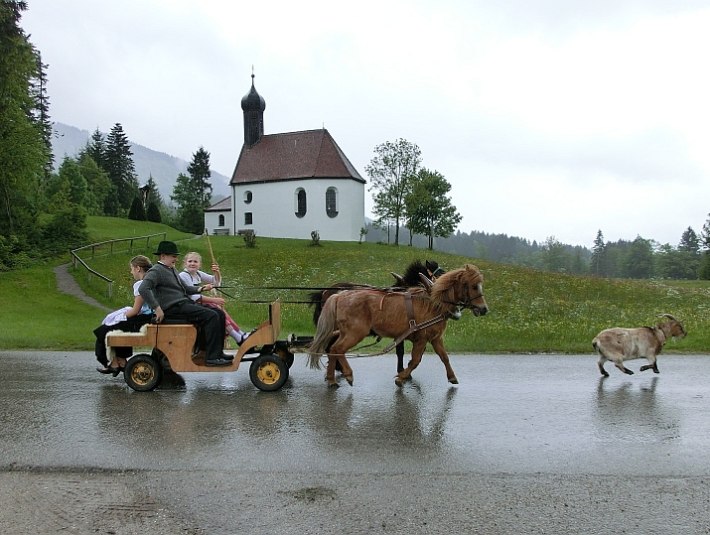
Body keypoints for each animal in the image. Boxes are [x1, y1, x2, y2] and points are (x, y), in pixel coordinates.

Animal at [310, 264, 490, 388]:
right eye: (474, 286)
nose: (484, 309)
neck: (434, 303)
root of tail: (338, 296)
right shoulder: (422, 339)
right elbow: (416, 360)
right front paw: (402, 378)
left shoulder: (435, 338)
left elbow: (444, 357)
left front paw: (452, 377)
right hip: (355, 333)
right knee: (337, 349)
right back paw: (346, 374)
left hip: (344, 332)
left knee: (332, 348)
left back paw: (332, 379)